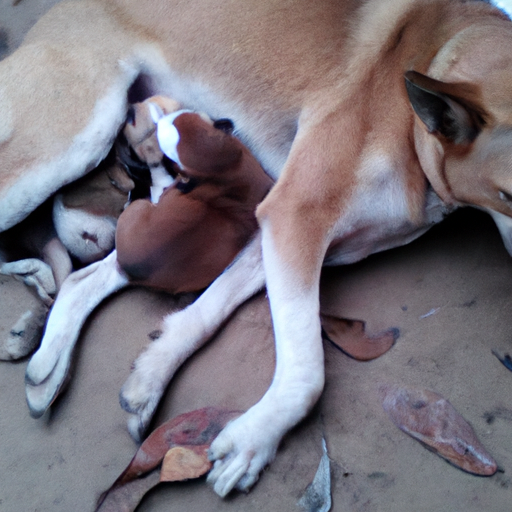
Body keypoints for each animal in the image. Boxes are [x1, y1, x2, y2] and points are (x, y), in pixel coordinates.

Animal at [1, 0, 512, 500]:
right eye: (509, 193)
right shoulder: (293, 214)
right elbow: (307, 370)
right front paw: (254, 439)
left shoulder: (286, 228)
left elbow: (205, 311)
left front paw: (152, 377)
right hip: (67, 146)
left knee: (83, 277)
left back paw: (47, 366)